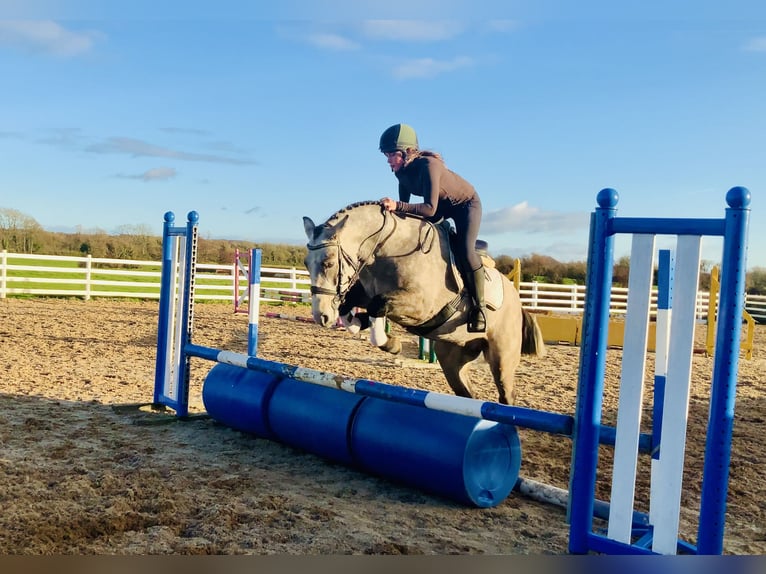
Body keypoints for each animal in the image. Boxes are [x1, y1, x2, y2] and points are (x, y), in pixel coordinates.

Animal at [302, 200, 546, 405]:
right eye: (306, 263)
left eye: (328, 262)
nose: (321, 316)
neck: (390, 248)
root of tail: (518, 302)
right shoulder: (364, 293)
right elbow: (351, 308)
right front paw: (364, 325)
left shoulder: (421, 306)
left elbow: (377, 305)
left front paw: (391, 343)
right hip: (453, 358)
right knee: (467, 394)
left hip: (502, 358)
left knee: (506, 395)